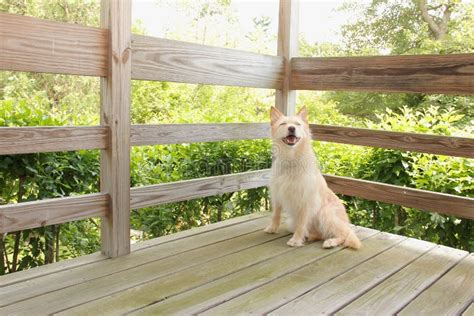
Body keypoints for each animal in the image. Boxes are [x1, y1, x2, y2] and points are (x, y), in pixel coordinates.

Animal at [264, 106, 362, 249]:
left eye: (298, 124)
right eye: (283, 124)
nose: (291, 128)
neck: (291, 160)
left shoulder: (306, 200)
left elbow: (301, 223)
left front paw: (296, 240)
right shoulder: (277, 193)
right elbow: (275, 215)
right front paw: (272, 228)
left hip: (326, 213)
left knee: (343, 235)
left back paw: (330, 242)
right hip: (292, 222)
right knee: (320, 234)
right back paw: (310, 236)